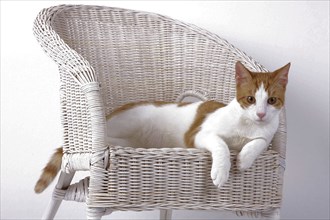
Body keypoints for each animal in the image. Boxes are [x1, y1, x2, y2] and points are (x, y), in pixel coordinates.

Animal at [34, 61, 290, 193]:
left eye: (271, 101)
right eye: (250, 99)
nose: (260, 114)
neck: (246, 126)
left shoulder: (266, 136)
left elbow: (259, 142)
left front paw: (245, 158)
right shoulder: (198, 135)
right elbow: (221, 145)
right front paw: (221, 170)